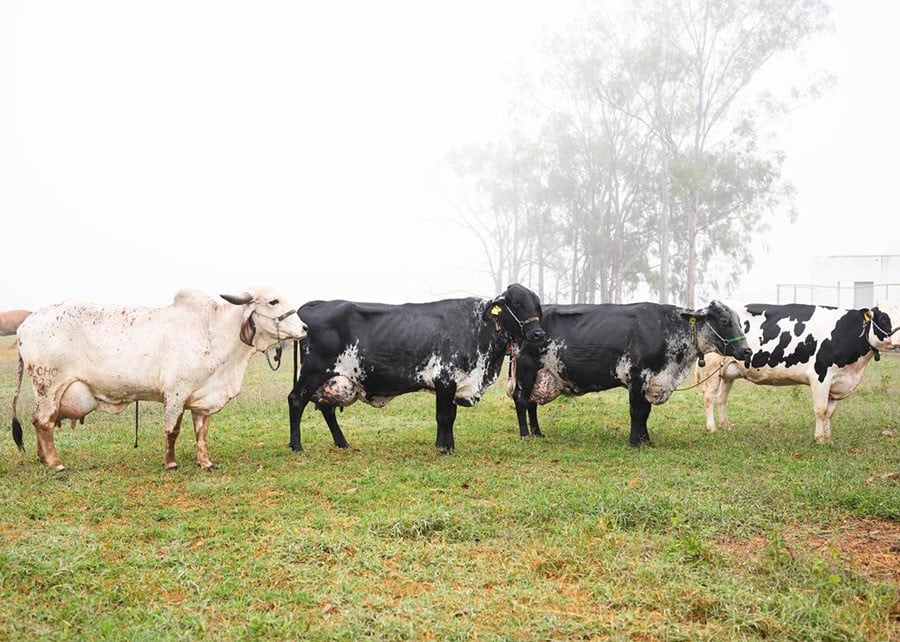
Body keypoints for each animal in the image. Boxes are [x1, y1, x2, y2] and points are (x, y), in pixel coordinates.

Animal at [11, 286, 306, 470]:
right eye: (273, 301)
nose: (304, 327)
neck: (212, 330)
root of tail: (27, 323)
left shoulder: (202, 398)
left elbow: (201, 432)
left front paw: (205, 462)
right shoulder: (175, 393)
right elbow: (172, 430)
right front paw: (171, 462)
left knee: (38, 422)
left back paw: (43, 459)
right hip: (49, 387)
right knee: (44, 423)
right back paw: (56, 463)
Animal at [288, 282, 544, 452]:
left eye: (537, 305)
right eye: (517, 303)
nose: (538, 334)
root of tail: (315, 305)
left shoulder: (455, 382)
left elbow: (450, 416)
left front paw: (447, 445)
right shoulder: (445, 378)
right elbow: (443, 416)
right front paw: (444, 448)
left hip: (331, 379)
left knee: (326, 408)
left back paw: (342, 443)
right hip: (313, 371)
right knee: (296, 400)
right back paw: (297, 445)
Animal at [506, 300, 752, 444]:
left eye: (740, 321)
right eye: (724, 320)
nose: (747, 350)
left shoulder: (650, 381)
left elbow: (645, 412)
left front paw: (646, 440)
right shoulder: (636, 375)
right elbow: (637, 411)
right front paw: (635, 441)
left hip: (540, 373)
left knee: (531, 403)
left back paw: (538, 433)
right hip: (527, 368)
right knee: (521, 399)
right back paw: (525, 435)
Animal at [700, 300, 896, 440]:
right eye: (884, 319)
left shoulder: (837, 380)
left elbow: (830, 412)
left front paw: (828, 437)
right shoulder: (820, 375)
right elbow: (821, 409)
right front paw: (819, 438)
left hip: (727, 373)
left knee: (721, 399)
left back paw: (724, 426)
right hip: (712, 368)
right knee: (709, 397)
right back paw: (711, 428)